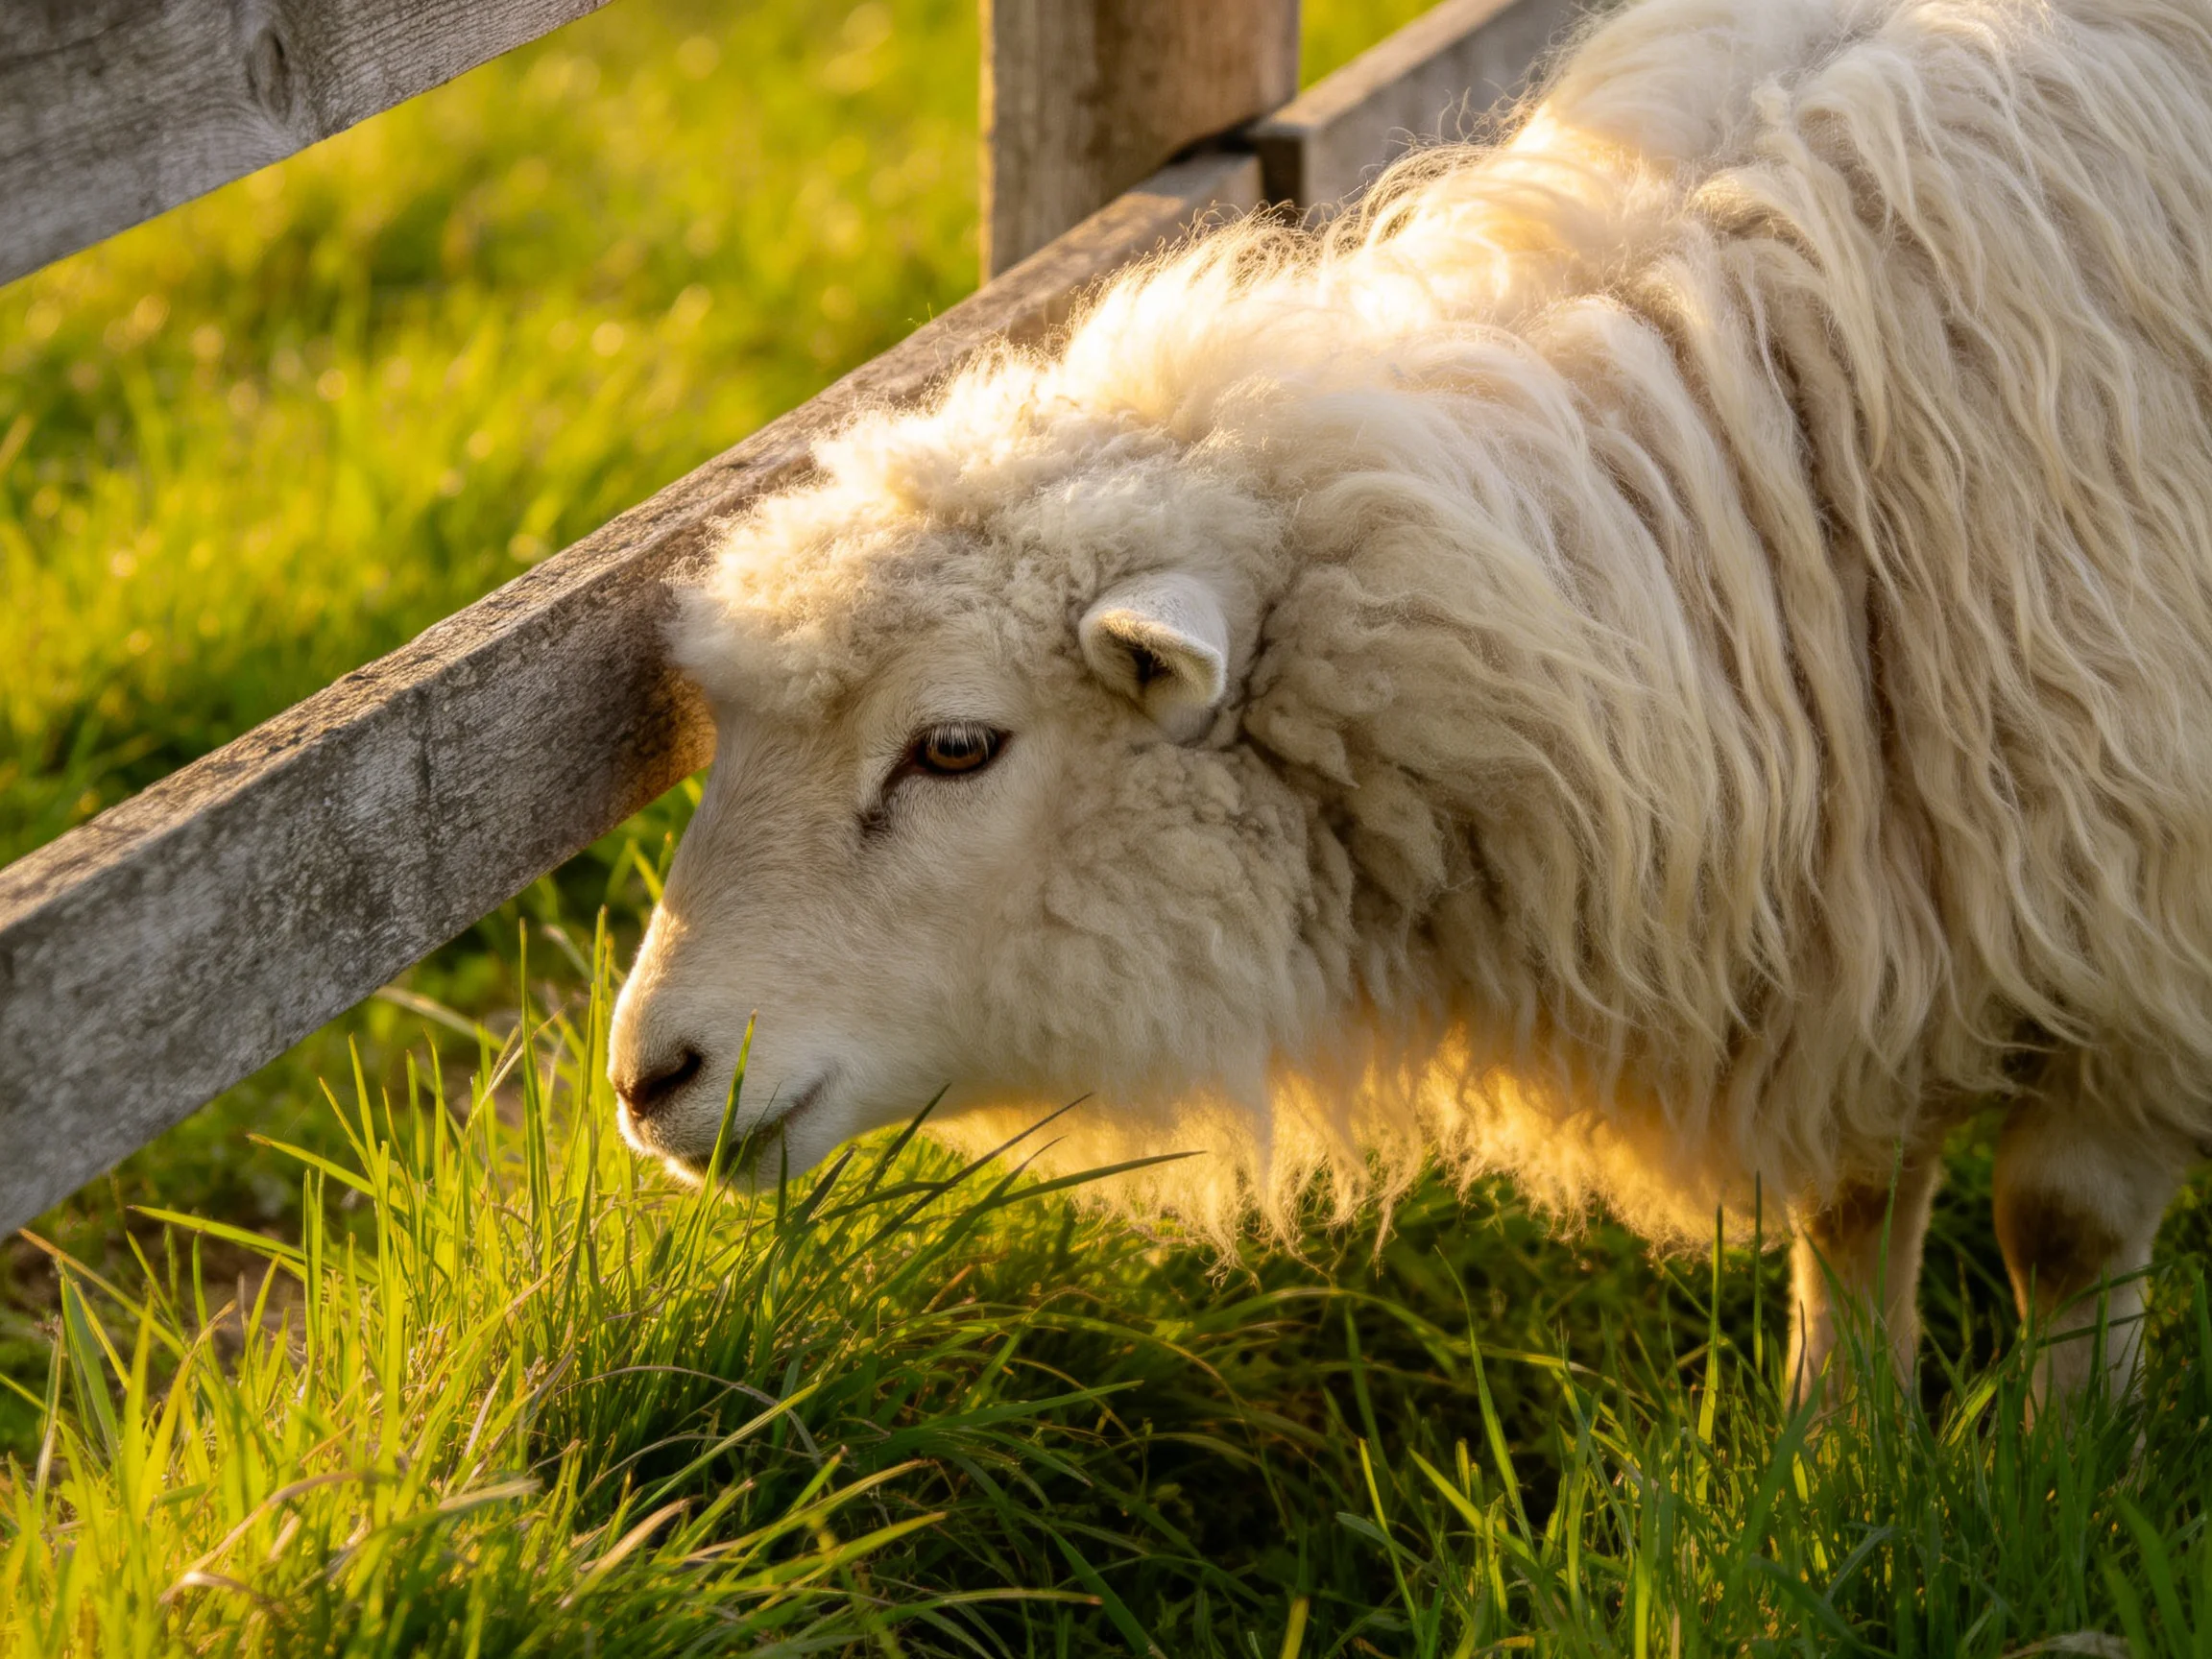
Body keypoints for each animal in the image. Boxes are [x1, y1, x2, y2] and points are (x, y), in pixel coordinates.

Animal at [610, 0, 2212, 1415]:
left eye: (955, 747)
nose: (645, 1077)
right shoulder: (1859, 922)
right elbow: (1857, 1206)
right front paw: (1840, 1462)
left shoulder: (2137, 920)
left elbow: (2060, 1224)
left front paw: (2065, 1468)